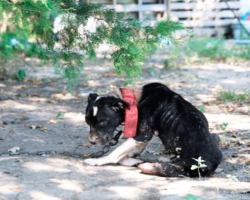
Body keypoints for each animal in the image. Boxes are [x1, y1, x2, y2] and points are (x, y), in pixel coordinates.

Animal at [84, 82, 223, 177]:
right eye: (87, 121)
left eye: (103, 121)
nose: (91, 142)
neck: (135, 100)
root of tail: (208, 166)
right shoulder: (142, 137)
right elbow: (130, 150)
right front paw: (128, 157)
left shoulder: (143, 135)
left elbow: (116, 152)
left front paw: (99, 161)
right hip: (215, 136)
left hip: (173, 165)